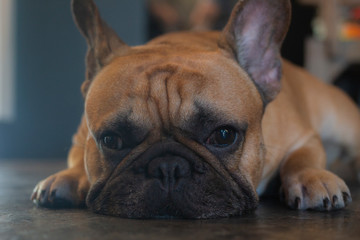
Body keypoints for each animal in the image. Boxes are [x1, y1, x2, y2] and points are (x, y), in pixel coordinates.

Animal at [31, 0, 360, 218]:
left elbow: (303, 157)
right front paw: (68, 177)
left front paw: (312, 177)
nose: (167, 168)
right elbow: (77, 157)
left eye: (224, 135)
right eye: (112, 140)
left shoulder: (303, 136)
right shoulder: (81, 137)